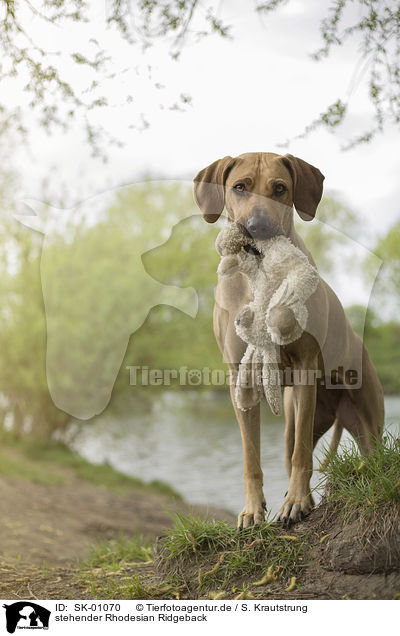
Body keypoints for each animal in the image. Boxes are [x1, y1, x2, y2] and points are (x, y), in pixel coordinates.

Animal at [194, 153, 384, 528]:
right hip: (297, 419)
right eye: (240, 187)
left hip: (365, 417)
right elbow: (251, 457)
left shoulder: (306, 365)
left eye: (280, 188)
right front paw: (252, 510)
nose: (257, 225)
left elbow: (302, 457)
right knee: (292, 447)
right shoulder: (240, 376)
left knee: (364, 454)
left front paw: (297, 502)